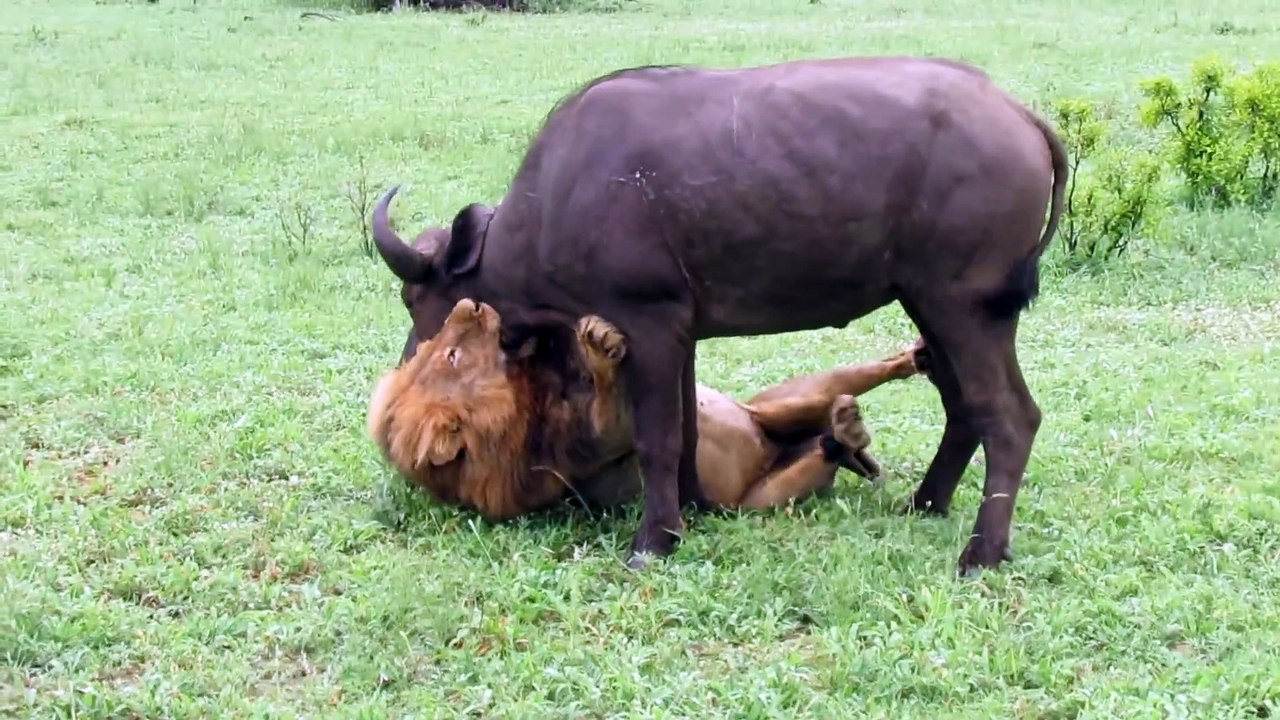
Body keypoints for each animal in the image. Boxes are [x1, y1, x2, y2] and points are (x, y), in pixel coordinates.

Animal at [366, 298, 927, 521]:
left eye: (433, 347)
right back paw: (848, 431)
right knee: (826, 443)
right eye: (451, 355)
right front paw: (599, 342)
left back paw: (910, 361)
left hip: (785, 400)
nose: (470, 304)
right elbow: (609, 402)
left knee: (856, 382)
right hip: (759, 501)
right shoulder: (593, 442)